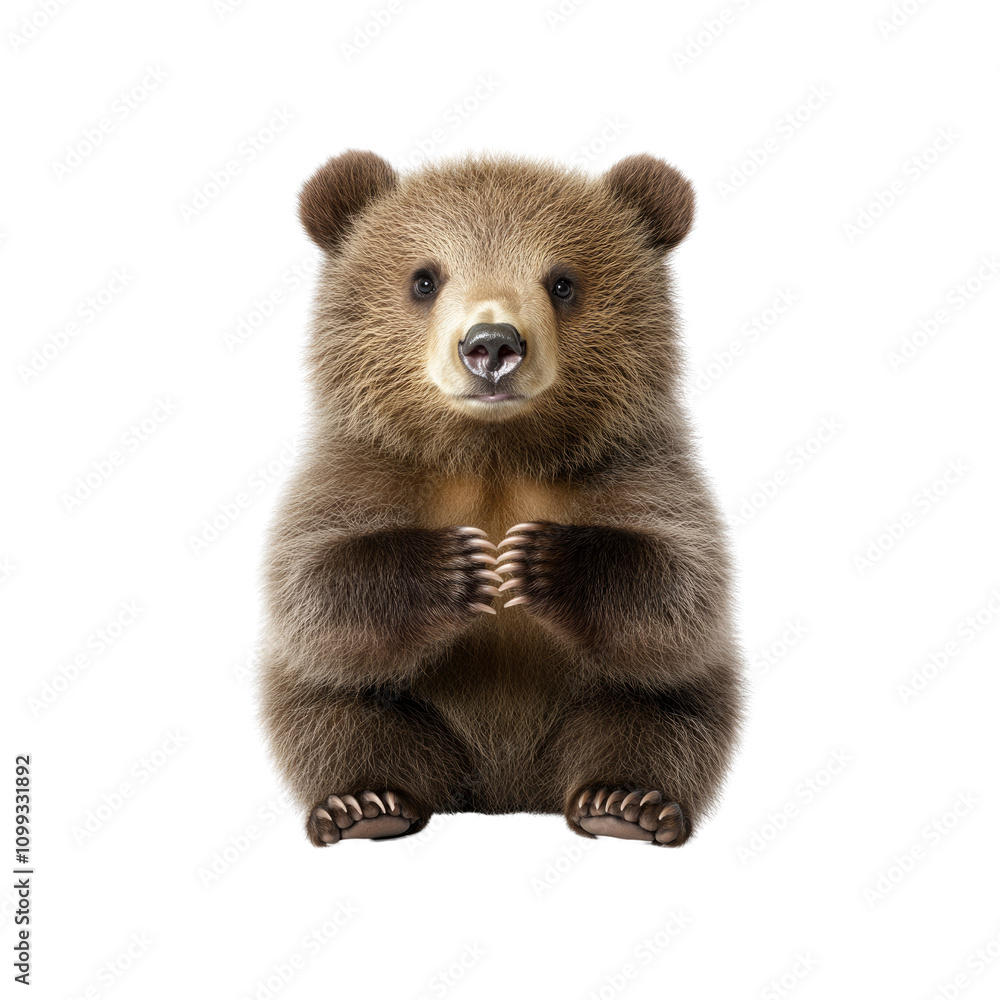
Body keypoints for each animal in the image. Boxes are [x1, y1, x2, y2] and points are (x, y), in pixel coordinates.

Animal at [257, 149, 743, 848]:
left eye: (563, 282)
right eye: (424, 279)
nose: (491, 345)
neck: (496, 453)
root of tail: (504, 791)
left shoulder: (634, 466)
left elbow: (685, 586)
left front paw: (531, 558)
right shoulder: (366, 467)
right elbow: (313, 588)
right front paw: (464, 565)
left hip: (615, 701)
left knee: (662, 712)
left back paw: (624, 801)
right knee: (335, 712)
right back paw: (366, 804)